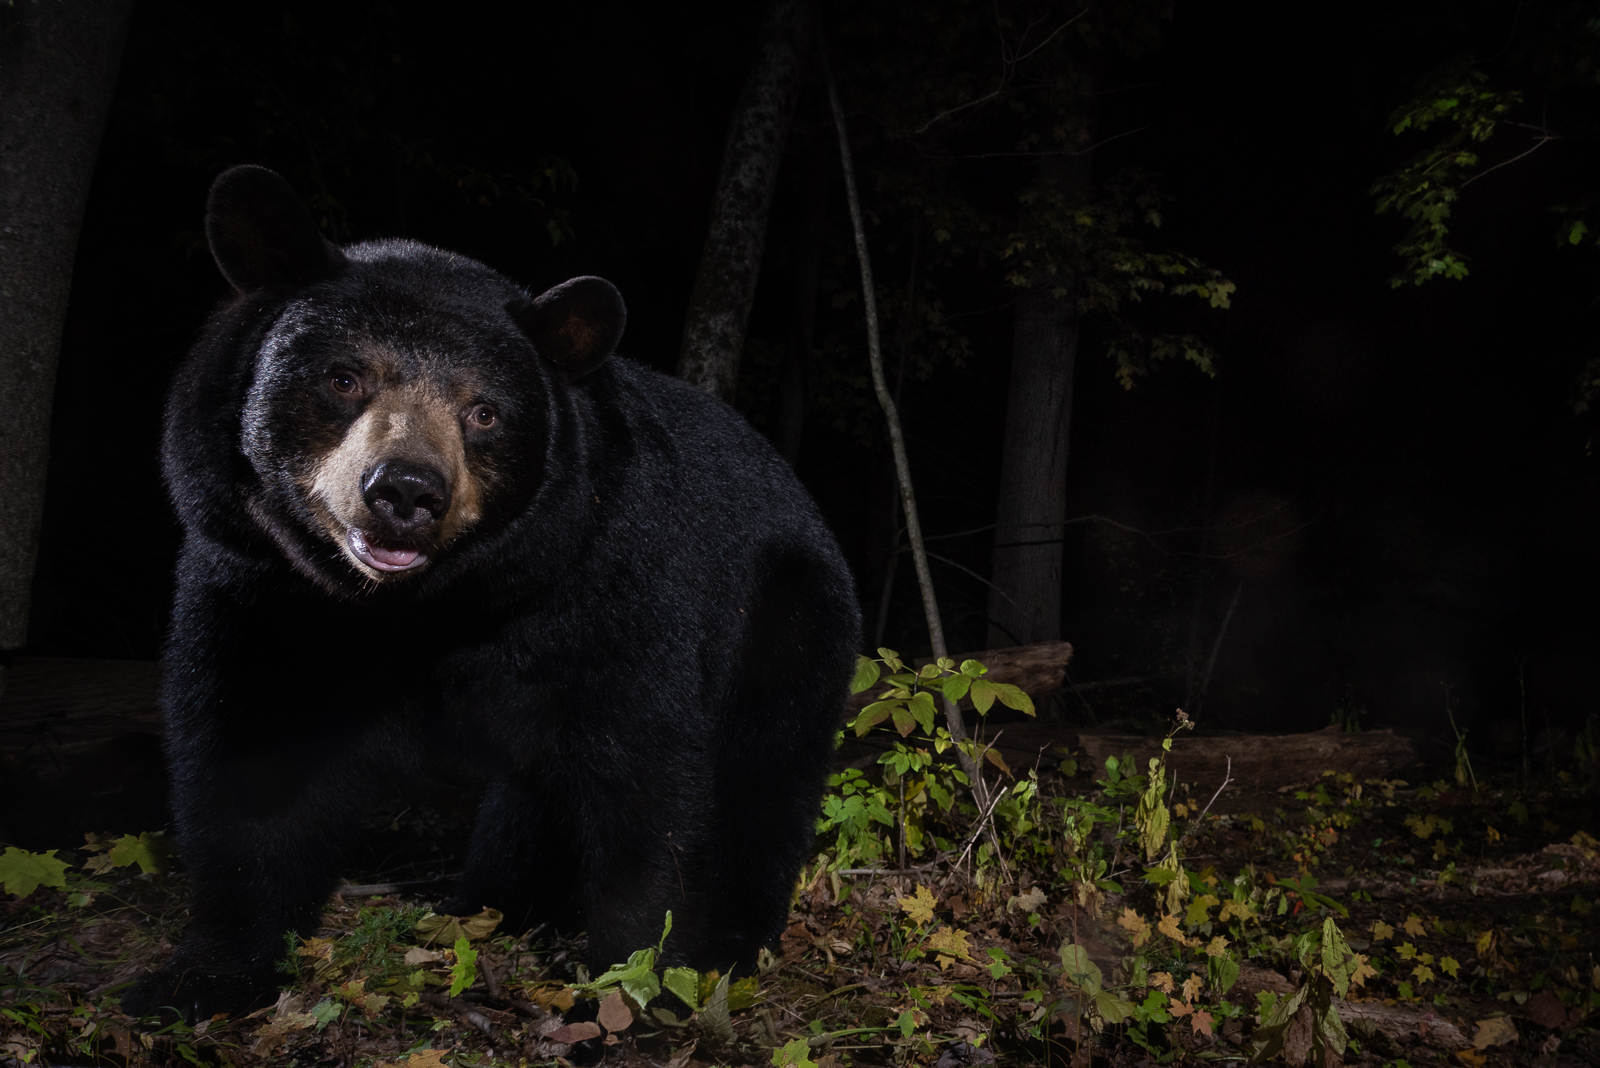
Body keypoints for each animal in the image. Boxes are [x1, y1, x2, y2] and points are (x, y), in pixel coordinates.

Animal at [121, 164, 864, 1016]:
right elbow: (255, 755)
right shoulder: (265, 588)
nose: (406, 490)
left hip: (788, 613)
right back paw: (487, 905)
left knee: (766, 766)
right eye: (344, 377)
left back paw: (734, 942)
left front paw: (630, 978)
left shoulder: (612, 585)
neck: (424, 610)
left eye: (483, 412)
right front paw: (198, 977)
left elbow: (646, 781)